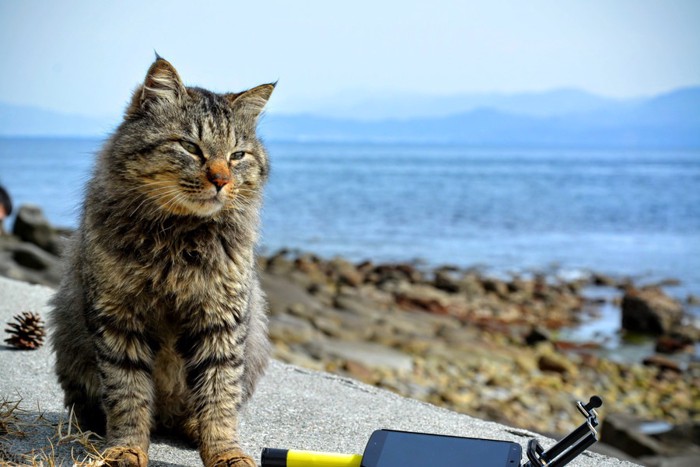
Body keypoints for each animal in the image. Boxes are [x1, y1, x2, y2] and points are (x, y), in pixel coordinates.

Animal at [47, 57, 274, 467]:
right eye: (190, 147)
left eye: (237, 155)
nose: (221, 180)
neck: (178, 240)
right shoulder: (118, 318)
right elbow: (128, 396)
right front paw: (126, 448)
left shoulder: (221, 321)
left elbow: (219, 397)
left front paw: (224, 451)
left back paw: (192, 427)